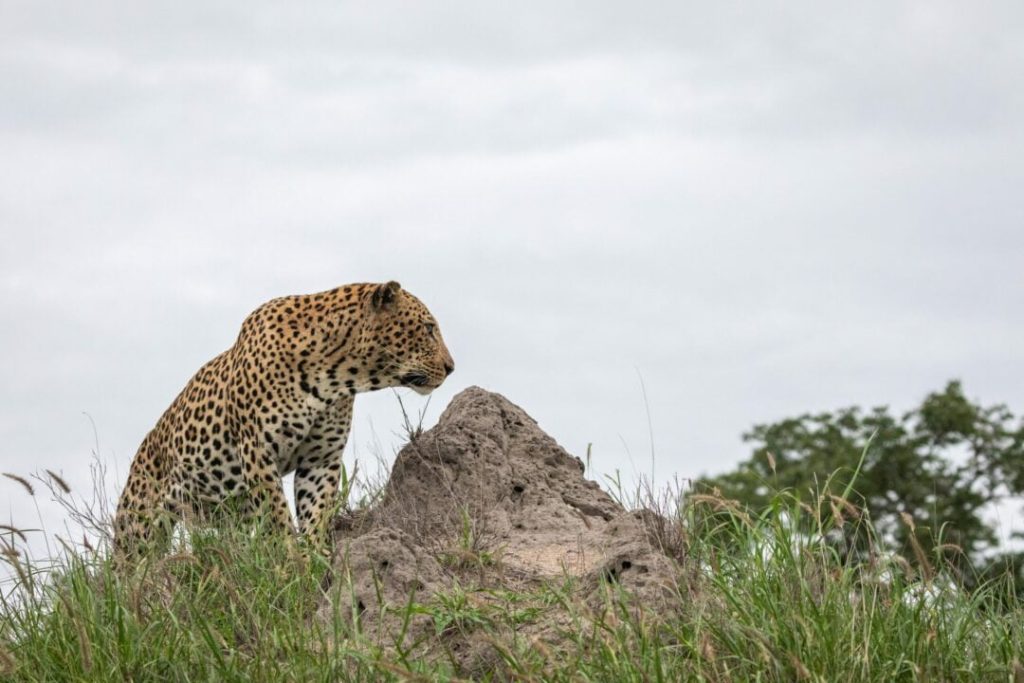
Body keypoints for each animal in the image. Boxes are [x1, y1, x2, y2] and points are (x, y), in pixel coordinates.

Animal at [112, 280, 454, 561]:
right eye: (428, 328)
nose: (451, 367)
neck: (336, 375)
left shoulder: (321, 459)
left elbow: (316, 510)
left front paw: (316, 555)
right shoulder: (257, 450)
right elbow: (276, 511)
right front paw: (290, 556)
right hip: (138, 526)